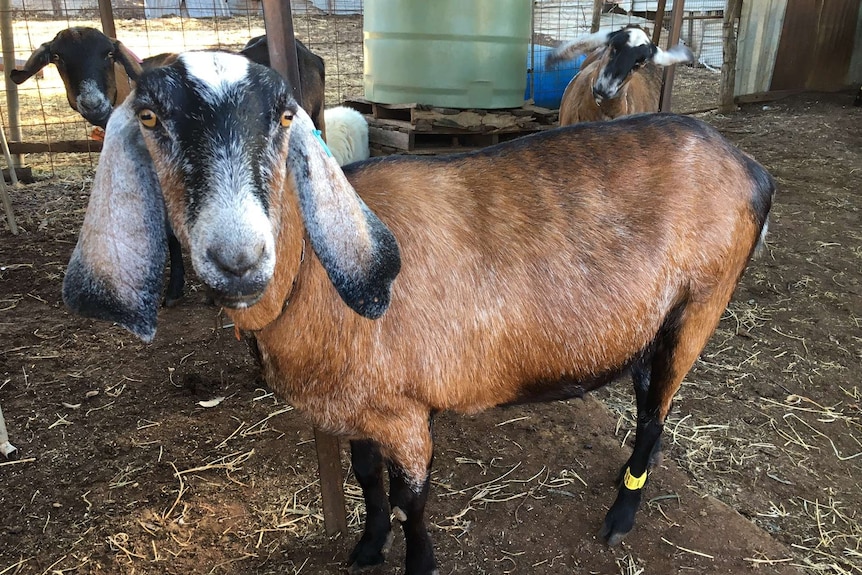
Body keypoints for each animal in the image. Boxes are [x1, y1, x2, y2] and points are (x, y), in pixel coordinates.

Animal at [60, 51, 776, 572]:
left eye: (284, 117)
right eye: (149, 119)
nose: (237, 257)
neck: (312, 279)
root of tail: (745, 163)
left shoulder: (405, 413)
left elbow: (413, 500)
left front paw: (416, 561)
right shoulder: (353, 405)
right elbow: (366, 480)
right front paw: (366, 548)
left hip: (702, 304)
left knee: (657, 414)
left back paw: (620, 518)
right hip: (651, 320)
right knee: (647, 394)